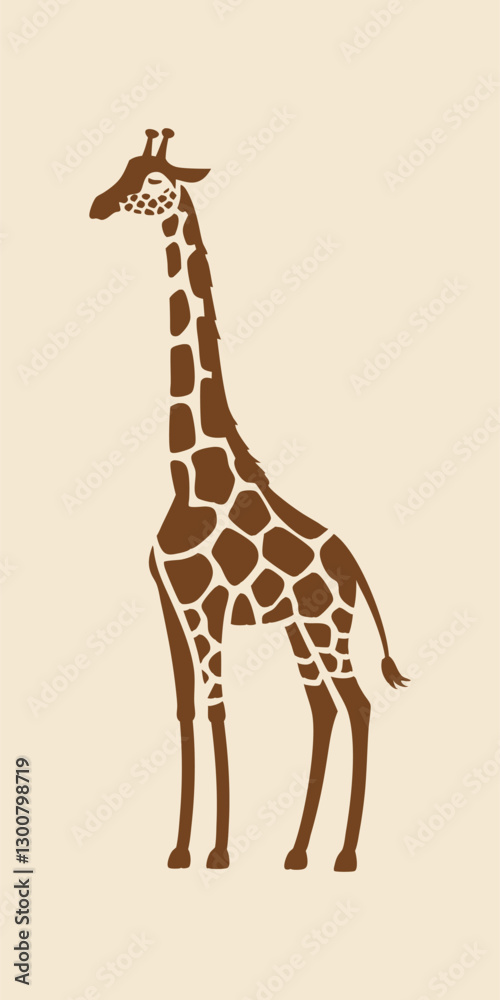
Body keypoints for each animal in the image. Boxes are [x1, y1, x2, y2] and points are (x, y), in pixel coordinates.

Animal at [90, 128, 409, 872]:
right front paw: (180, 848)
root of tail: (354, 569)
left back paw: (344, 855)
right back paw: (297, 852)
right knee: (323, 707)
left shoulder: (206, 609)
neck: (189, 477)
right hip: (299, 630)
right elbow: (186, 712)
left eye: (152, 179)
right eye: (123, 168)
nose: (97, 205)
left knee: (357, 704)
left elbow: (217, 709)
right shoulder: (172, 606)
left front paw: (215, 851)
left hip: (325, 625)